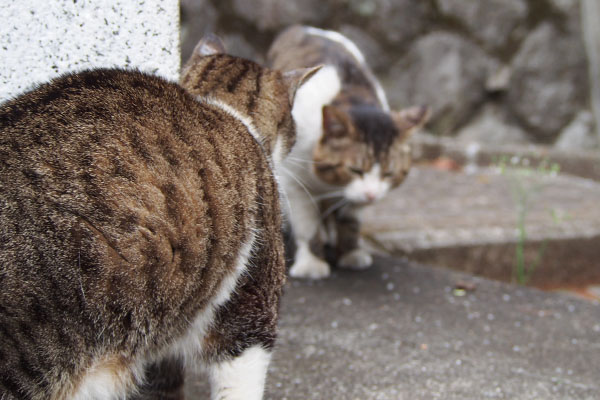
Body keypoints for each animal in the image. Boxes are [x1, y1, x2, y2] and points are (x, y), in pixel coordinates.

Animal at [266, 26, 426, 280]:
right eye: (355, 169)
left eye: (389, 174)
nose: (372, 196)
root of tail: (301, 27)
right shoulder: (294, 183)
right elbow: (308, 226)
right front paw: (312, 263)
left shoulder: (353, 196)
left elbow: (350, 221)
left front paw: (351, 254)